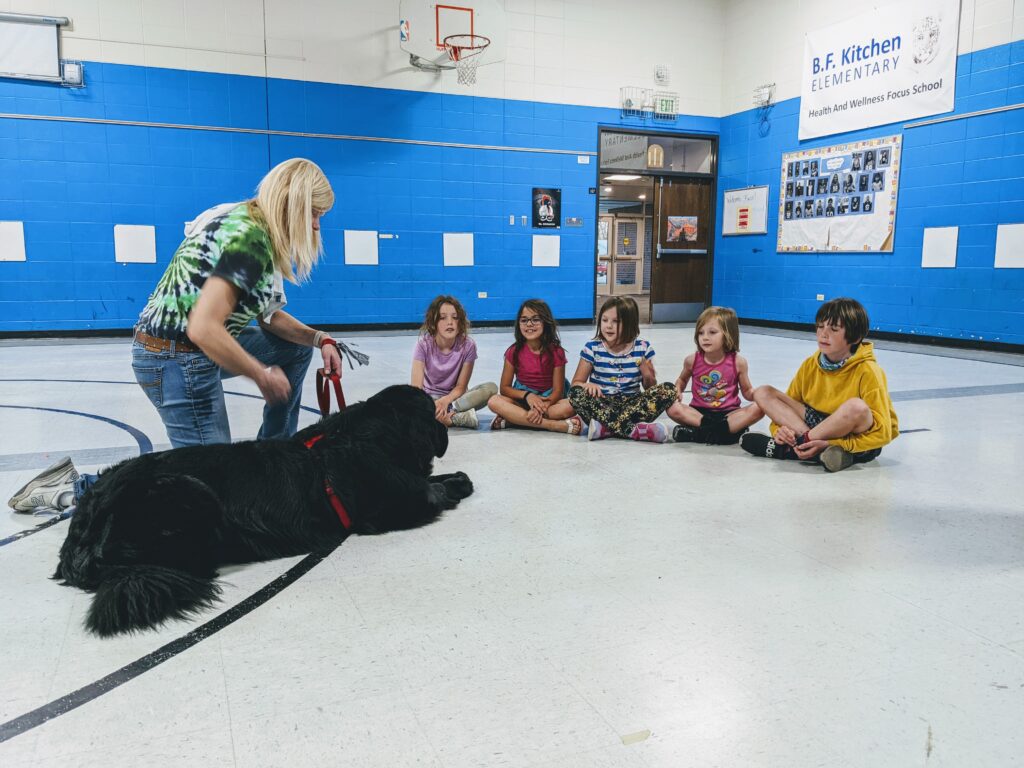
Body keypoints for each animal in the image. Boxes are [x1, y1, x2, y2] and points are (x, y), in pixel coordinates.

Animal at [54, 385, 473, 638]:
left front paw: (456, 476)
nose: (444, 420)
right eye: (433, 411)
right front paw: (456, 482)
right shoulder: (396, 502)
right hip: (189, 490)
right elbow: (431, 489)